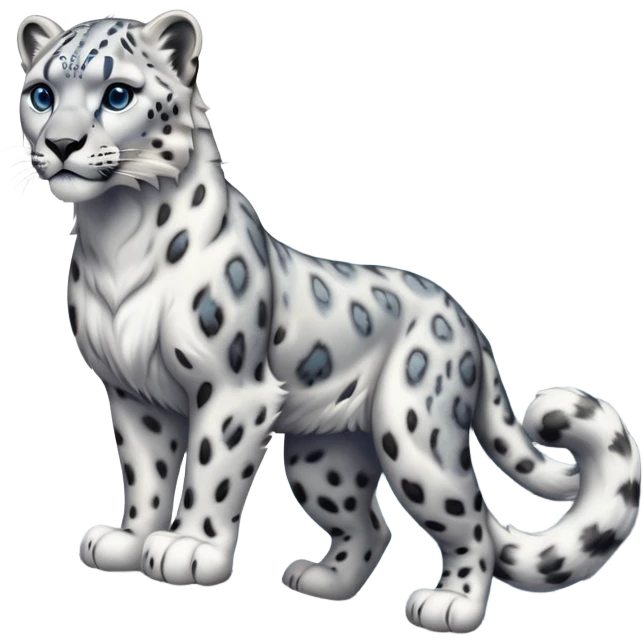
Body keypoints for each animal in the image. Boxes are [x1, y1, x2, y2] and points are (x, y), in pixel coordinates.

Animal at [18, 10, 641, 633]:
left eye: (117, 94)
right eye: (42, 94)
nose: (62, 143)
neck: (116, 233)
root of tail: (464, 319)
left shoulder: (229, 389)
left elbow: (210, 472)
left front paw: (188, 548)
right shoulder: (132, 393)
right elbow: (145, 473)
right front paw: (129, 539)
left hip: (415, 433)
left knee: (470, 519)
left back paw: (451, 606)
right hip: (324, 458)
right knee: (372, 526)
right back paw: (322, 582)